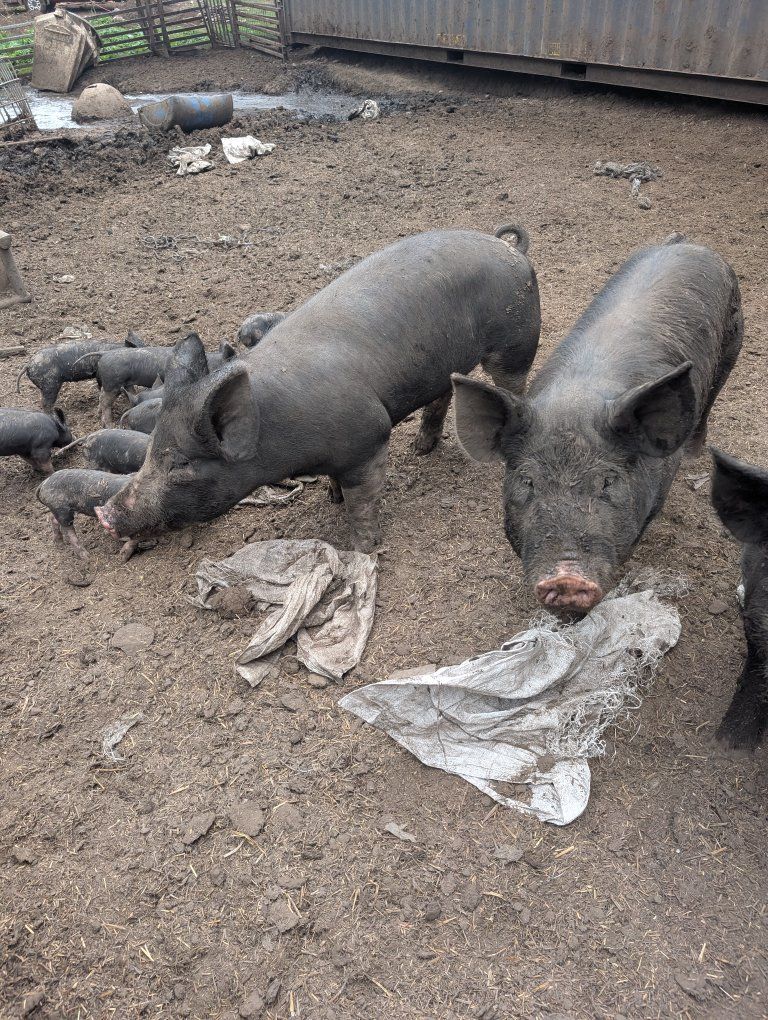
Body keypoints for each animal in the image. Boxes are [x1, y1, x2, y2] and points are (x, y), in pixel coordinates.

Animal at [452, 234, 742, 616]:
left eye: (608, 480)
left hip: (733, 345)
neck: (577, 400)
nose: (567, 578)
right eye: (527, 481)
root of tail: (687, 243)